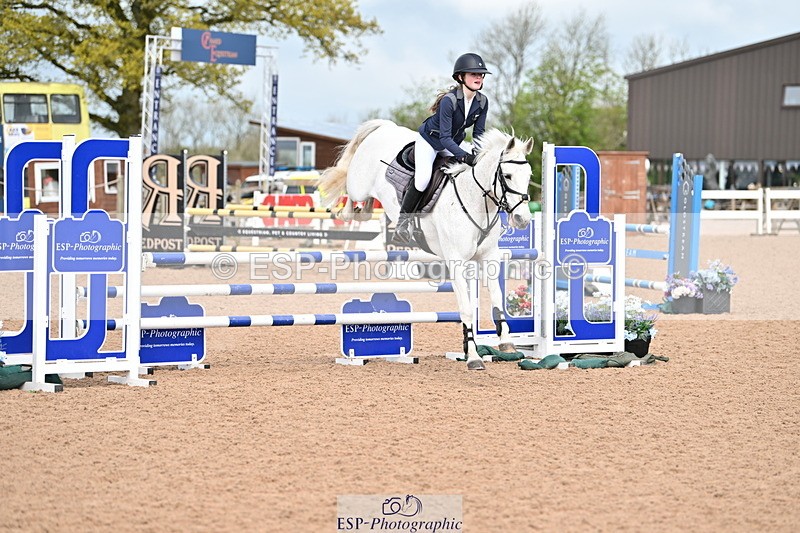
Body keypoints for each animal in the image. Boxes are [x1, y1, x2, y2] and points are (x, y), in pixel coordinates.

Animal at [319, 119, 533, 370]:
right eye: (507, 176)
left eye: (529, 175)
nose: (522, 220)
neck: (473, 199)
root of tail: (385, 126)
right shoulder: (456, 261)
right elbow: (467, 310)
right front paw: (473, 357)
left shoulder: (489, 257)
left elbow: (498, 300)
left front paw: (506, 343)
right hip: (358, 184)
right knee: (350, 194)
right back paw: (345, 210)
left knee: (365, 209)